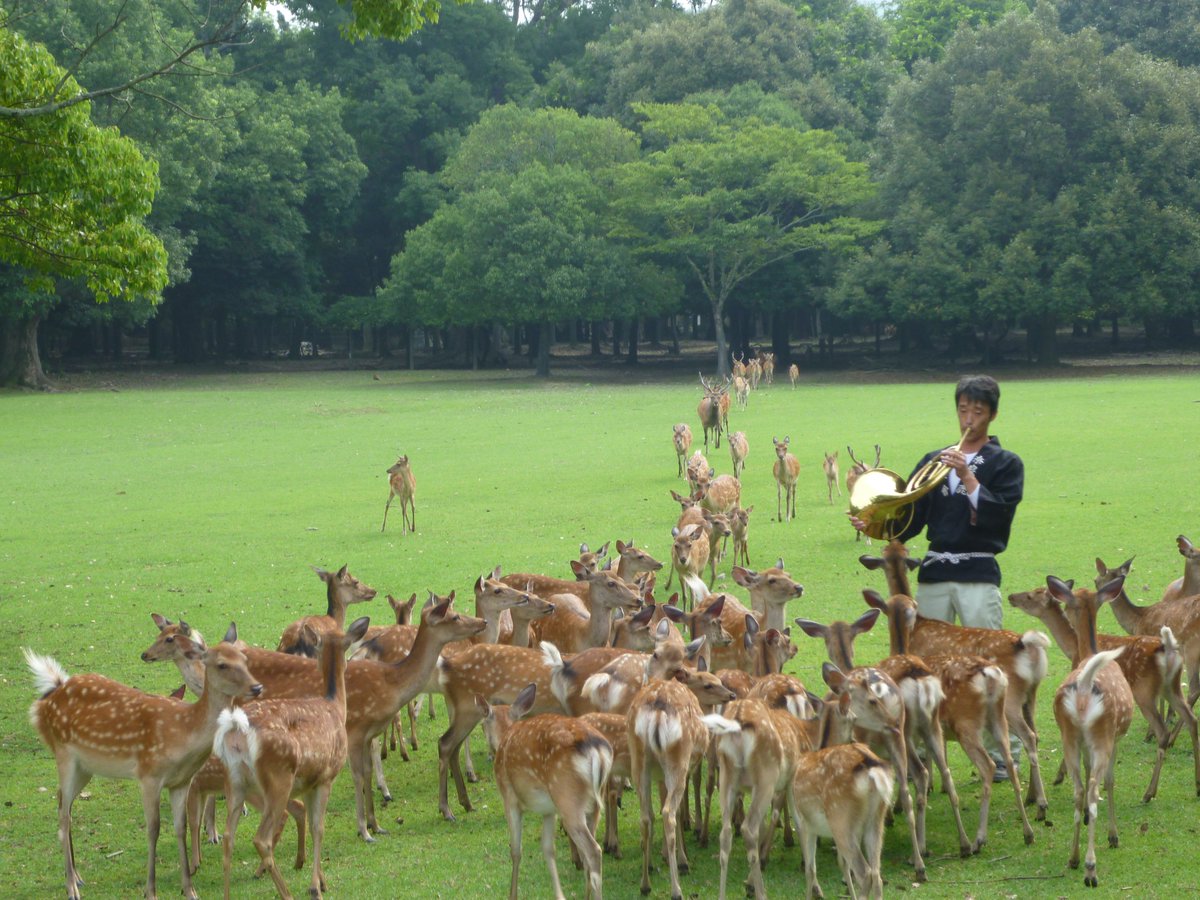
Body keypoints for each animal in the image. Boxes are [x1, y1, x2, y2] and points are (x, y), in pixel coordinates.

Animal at [25, 628, 262, 900]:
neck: (184, 733)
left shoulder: (182, 781)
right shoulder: (149, 775)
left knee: (63, 803)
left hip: (85, 767)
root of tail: (43, 703)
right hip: (63, 753)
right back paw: (71, 887)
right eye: (222, 664)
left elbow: (181, 827)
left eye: (244, 659)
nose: (257, 687)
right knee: (64, 815)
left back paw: (77, 876)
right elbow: (153, 829)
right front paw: (151, 891)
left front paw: (189, 888)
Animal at [213, 619, 367, 900]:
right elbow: (319, 827)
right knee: (261, 839)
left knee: (229, 837)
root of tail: (237, 729)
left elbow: (312, 823)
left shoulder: (309, 782)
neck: (335, 706)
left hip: (234, 781)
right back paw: (286, 893)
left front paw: (322, 880)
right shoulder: (326, 776)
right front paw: (315, 887)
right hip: (278, 778)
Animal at [1008, 585, 1195, 801]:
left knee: (1163, 731)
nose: (1011, 597)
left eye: (1030, 596)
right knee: (1192, 719)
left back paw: (1148, 793)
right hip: (1171, 687)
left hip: (1145, 692)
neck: (1074, 648)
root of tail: (1168, 648)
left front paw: (1060, 776)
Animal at [1051, 578, 1132, 888]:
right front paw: (1113, 835)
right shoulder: (1116, 737)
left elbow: (1085, 777)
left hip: (1070, 735)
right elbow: (1110, 781)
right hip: (1103, 734)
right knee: (1096, 788)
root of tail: (1085, 687)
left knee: (1078, 790)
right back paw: (1090, 868)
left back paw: (1073, 858)